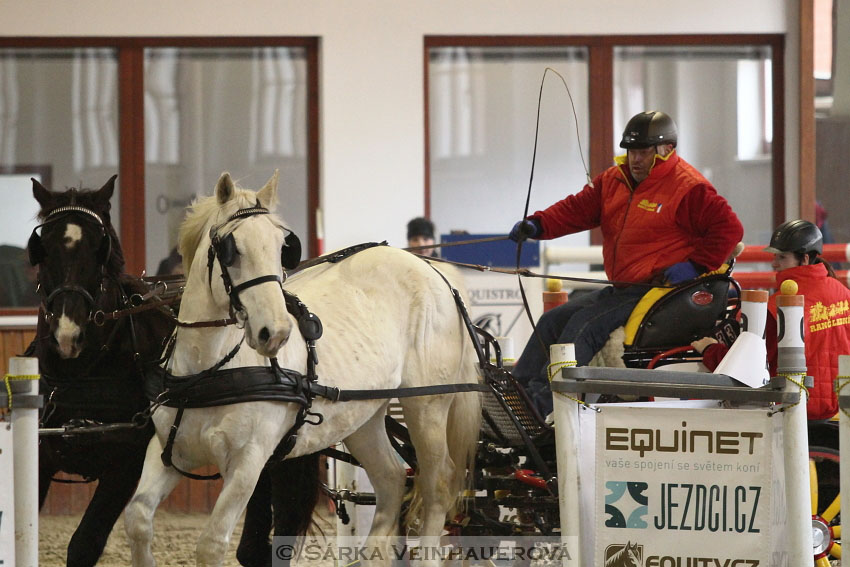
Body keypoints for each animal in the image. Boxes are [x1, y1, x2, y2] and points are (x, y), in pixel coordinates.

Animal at [126, 172, 484, 567]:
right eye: (232, 249)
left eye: (281, 246)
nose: (276, 332)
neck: (209, 372)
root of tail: (435, 272)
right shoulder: (169, 452)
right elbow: (138, 519)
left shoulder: (248, 461)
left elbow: (211, 543)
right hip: (363, 415)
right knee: (391, 480)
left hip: (427, 405)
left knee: (436, 485)